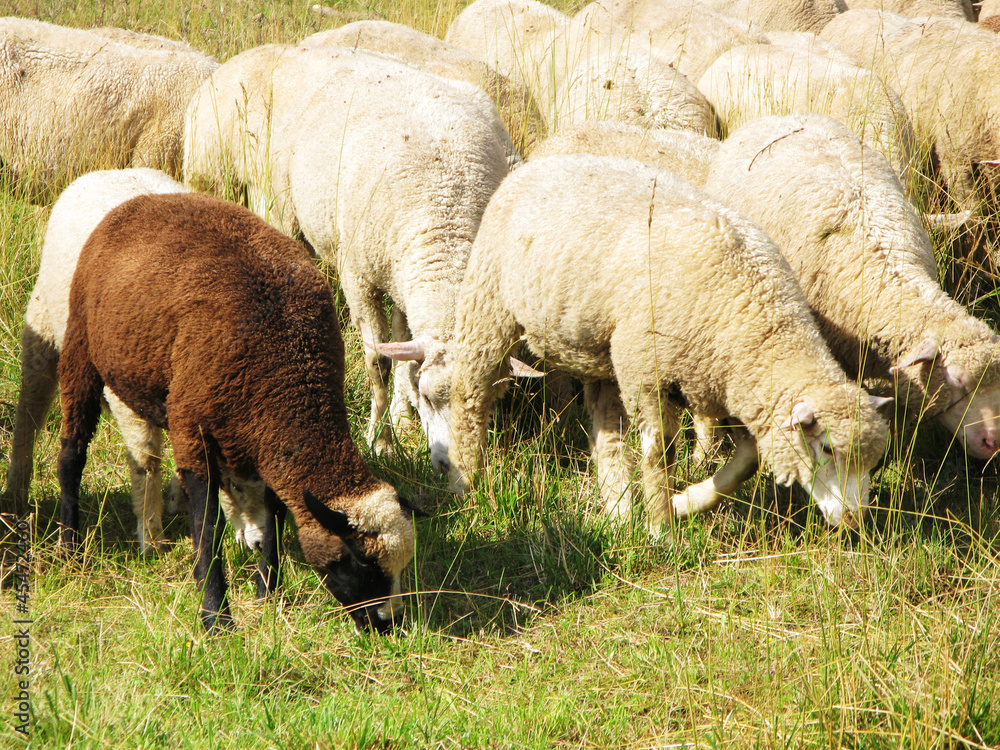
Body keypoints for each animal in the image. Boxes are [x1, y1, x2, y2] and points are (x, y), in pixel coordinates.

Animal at [57, 191, 416, 632]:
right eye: (361, 561)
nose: (390, 624)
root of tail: (146, 200)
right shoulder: (193, 430)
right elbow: (207, 528)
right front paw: (216, 616)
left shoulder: (268, 445)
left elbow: (275, 515)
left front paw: (266, 593)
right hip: (80, 346)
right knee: (72, 453)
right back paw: (69, 547)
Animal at [185, 45, 517, 466]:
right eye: (430, 397)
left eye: (494, 401)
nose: (454, 467)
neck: (446, 214)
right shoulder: (359, 277)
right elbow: (379, 364)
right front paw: (381, 442)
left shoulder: (401, 273)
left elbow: (403, 347)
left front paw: (401, 419)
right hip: (267, 200)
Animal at [446, 153, 890, 528]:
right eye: (828, 449)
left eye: (872, 462)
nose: (856, 521)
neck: (756, 314)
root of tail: (540, 160)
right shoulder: (649, 374)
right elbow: (660, 453)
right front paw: (661, 527)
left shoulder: (726, 383)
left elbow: (746, 462)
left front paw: (683, 504)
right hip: (489, 303)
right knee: (470, 394)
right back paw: (465, 483)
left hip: (605, 351)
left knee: (607, 430)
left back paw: (620, 511)